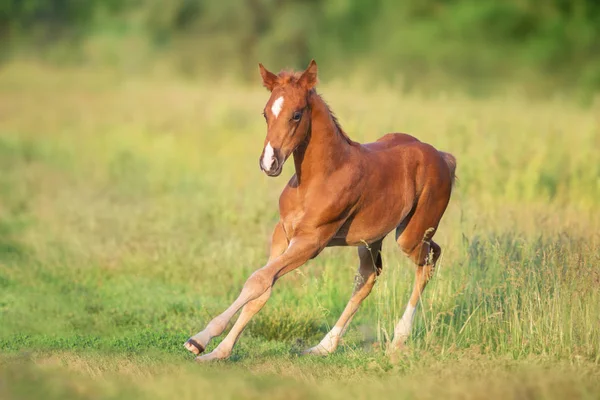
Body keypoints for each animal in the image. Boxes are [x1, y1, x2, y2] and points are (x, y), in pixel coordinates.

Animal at [183, 60, 454, 362]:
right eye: (265, 113)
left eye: (296, 115)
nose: (269, 163)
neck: (317, 179)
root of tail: (443, 157)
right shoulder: (283, 233)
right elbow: (262, 289)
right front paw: (218, 351)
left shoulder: (311, 242)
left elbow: (258, 280)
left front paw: (199, 339)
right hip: (370, 240)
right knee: (368, 277)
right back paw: (324, 346)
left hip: (410, 236)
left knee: (429, 258)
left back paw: (398, 339)